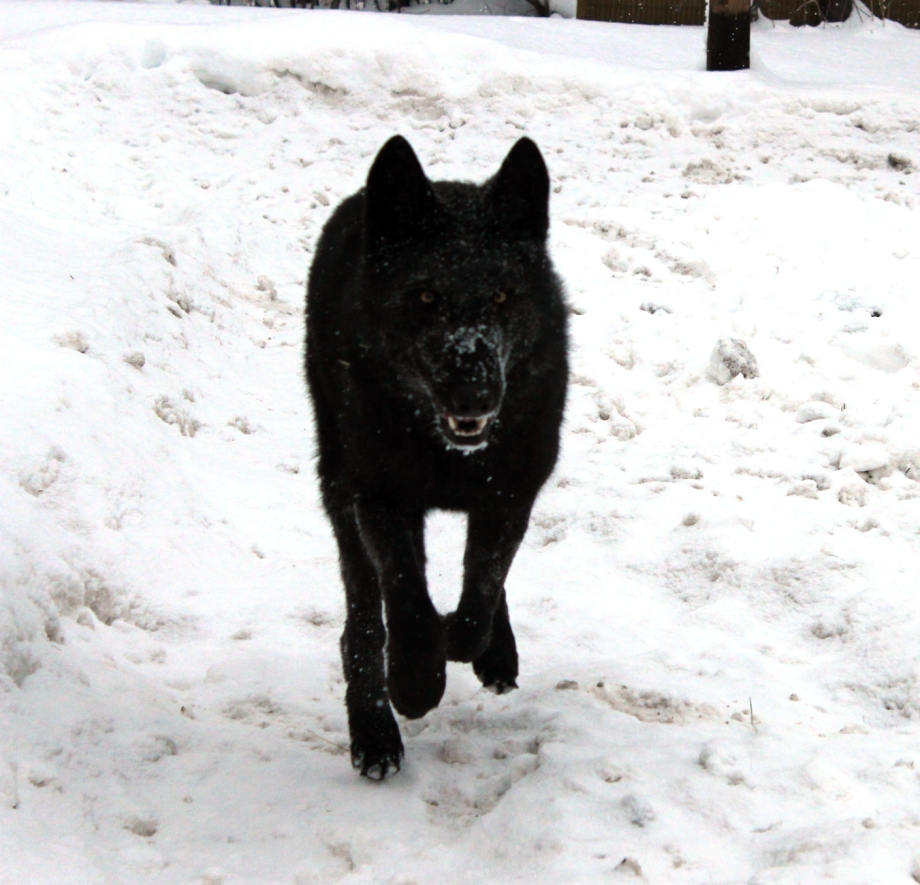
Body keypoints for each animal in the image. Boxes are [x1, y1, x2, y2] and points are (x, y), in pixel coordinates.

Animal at [306, 135, 568, 776]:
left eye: (501, 295)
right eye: (425, 295)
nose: (476, 394)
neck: (449, 454)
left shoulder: (510, 495)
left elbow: (479, 594)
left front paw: (470, 643)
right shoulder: (380, 498)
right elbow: (406, 598)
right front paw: (414, 682)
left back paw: (496, 652)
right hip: (338, 484)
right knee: (362, 617)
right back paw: (375, 728)